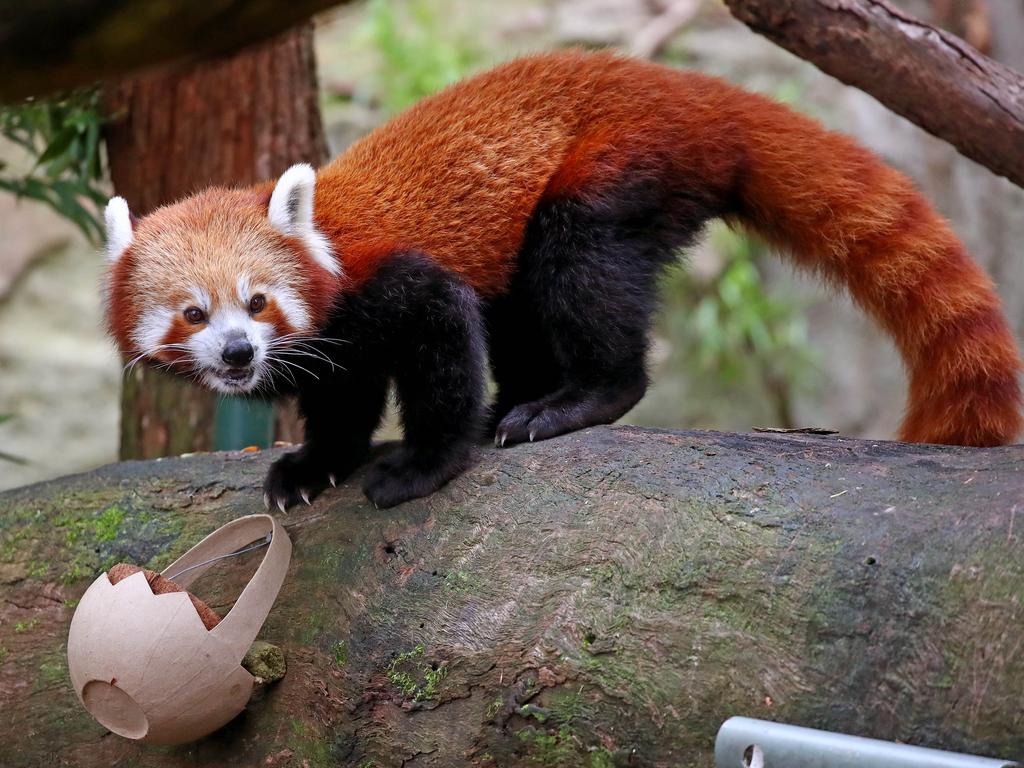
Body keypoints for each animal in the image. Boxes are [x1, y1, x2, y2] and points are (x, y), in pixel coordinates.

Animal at [103, 46, 1024, 505]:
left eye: (256, 302)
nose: (236, 354)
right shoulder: (336, 346)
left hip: (610, 171)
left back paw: (573, 400)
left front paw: (424, 464)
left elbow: (439, 345)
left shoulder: (388, 284)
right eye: (193, 314)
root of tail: (688, 90)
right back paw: (520, 400)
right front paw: (313, 466)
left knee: (582, 277)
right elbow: (343, 399)